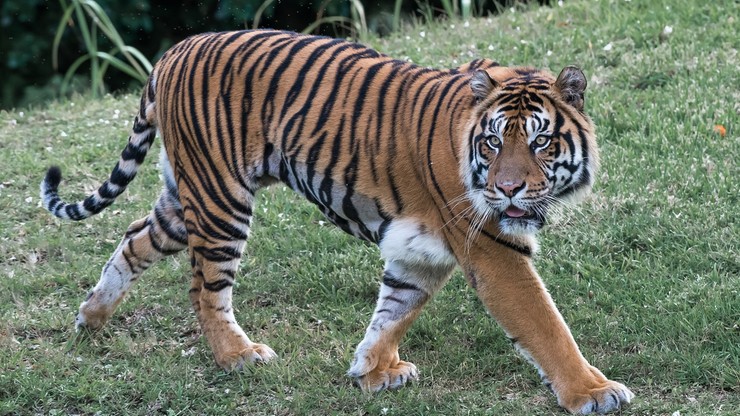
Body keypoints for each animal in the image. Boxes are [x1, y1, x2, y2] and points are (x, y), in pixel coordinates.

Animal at [40, 29, 632, 412]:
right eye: (493, 142)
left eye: (540, 141)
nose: (507, 189)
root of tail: (171, 53)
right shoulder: (493, 249)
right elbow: (545, 324)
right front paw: (593, 393)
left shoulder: (419, 250)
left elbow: (395, 310)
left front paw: (373, 370)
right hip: (220, 200)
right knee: (204, 288)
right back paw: (238, 356)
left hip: (186, 200)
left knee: (134, 238)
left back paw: (91, 319)